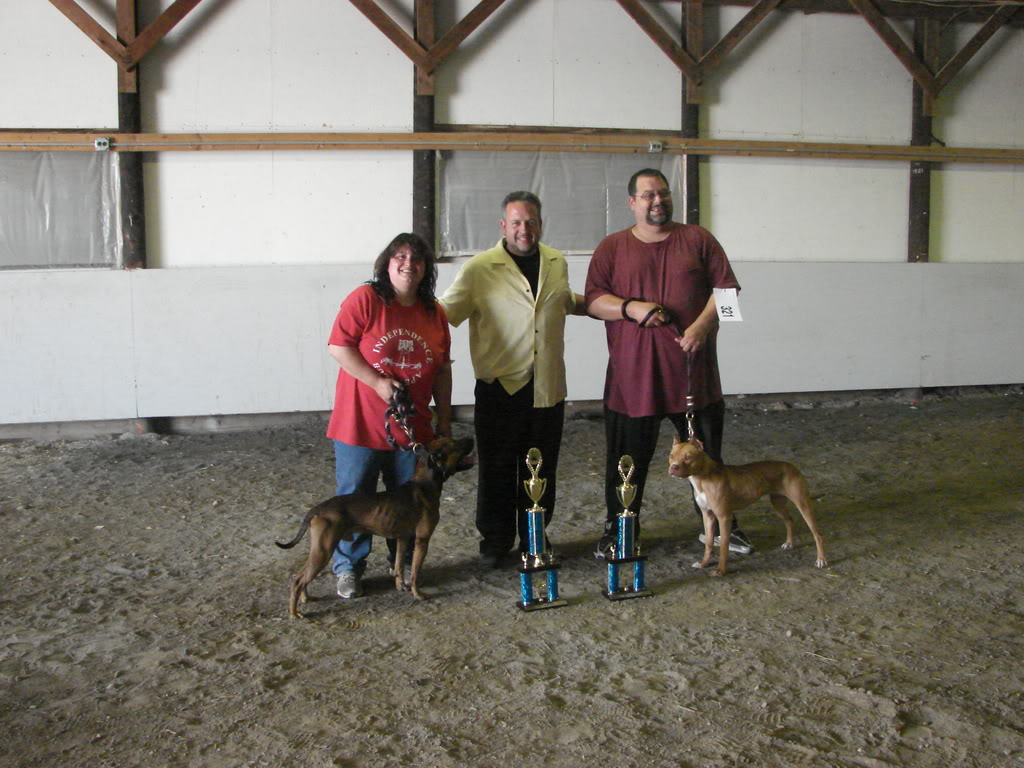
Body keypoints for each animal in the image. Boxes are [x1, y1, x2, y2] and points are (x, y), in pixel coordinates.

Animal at [276, 438, 475, 618]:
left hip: (318, 550)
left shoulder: (403, 538)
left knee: (301, 576)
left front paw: (400, 586)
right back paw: (294, 613)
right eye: (456, 444)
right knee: (298, 581)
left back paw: (305, 598)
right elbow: (415, 573)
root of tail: (318, 508)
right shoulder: (422, 540)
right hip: (324, 550)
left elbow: (399, 565)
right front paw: (418, 594)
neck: (425, 482)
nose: (471, 438)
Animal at [667, 438, 827, 577]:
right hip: (778, 504)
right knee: (789, 521)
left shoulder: (724, 517)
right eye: (671, 455)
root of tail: (793, 466)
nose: (673, 467)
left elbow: (724, 547)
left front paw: (721, 570)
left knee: (818, 534)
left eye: (688, 457)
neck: (702, 477)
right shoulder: (708, 516)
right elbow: (709, 544)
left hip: (803, 504)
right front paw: (703, 563)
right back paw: (789, 543)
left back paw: (821, 560)